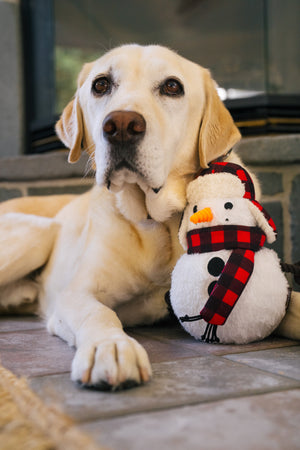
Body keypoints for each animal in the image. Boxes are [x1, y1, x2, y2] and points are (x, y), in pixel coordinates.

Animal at [0, 45, 298, 390]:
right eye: (101, 85)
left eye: (172, 86)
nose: (121, 126)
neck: (157, 222)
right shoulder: (75, 294)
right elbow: (99, 314)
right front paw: (111, 347)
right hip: (39, 232)